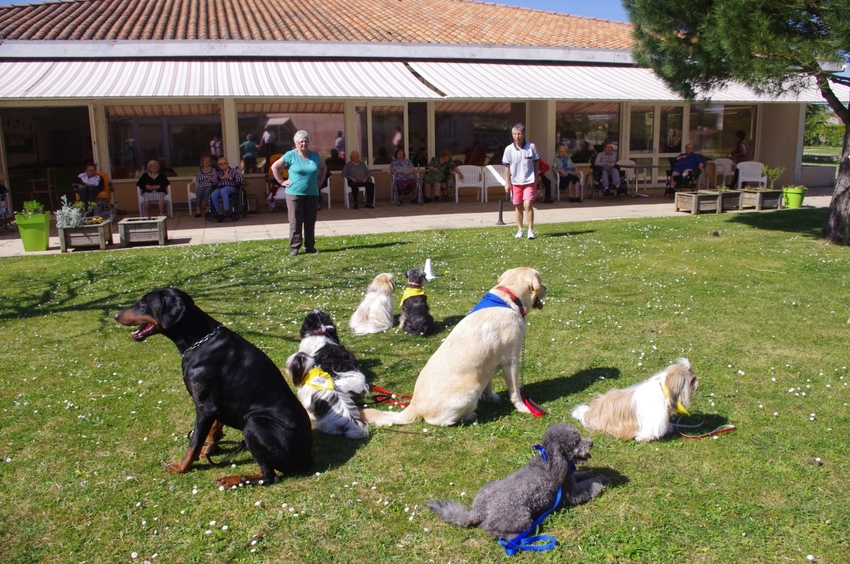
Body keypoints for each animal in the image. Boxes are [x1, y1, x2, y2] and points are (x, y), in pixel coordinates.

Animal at [113, 288, 312, 486]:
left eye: (143, 303)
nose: (115, 315)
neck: (199, 341)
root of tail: (306, 458)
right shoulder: (214, 403)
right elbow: (213, 428)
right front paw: (209, 449)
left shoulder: (205, 405)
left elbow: (193, 442)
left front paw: (181, 467)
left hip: (255, 423)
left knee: (269, 476)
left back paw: (232, 479)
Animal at [362, 266, 548, 426]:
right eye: (540, 279)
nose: (546, 288)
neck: (508, 300)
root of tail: (414, 405)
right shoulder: (512, 361)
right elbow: (515, 392)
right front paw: (522, 407)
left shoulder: (489, 363)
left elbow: (488, 383)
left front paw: (490, 397)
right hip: (471, 390)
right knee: (440, 421)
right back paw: (469, 415)